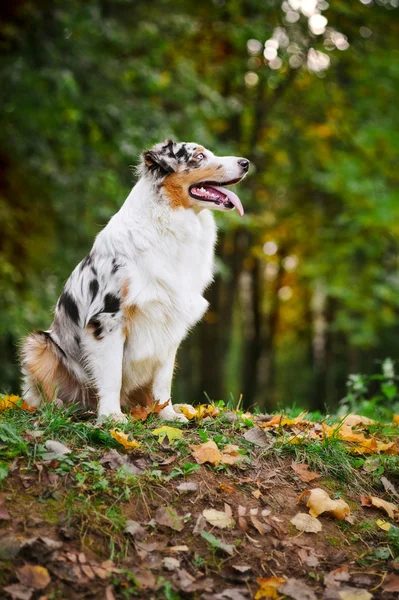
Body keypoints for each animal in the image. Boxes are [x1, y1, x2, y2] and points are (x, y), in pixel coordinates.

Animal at [21, 140, 250, 422]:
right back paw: (61, 407)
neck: (169, 222)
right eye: (199, 156)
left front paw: (167, 414)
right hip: (38, 344)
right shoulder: (109, 318)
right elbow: (112, 375)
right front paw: (111, 417)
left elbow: (163, 380)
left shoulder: (170, 322)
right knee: (41, 395)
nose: (246, 163)